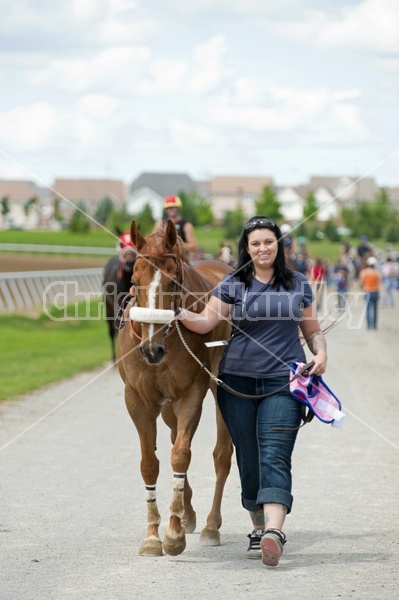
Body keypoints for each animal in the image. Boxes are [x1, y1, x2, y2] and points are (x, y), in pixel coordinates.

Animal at [103, 230, 138, 360]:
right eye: (121, 243)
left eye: (133, 243)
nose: (129, 262)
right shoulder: (116, 304)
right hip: (107, 307)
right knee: (110, 330)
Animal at [116, 220, 234, 556]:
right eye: (134, 279)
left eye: (171, 281)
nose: (151, 349)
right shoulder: (137, 399)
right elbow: (150, 464)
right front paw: (153, 535)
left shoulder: (190, 393)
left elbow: (181, 456)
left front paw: (173, 533)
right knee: (172, 435)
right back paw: (188, 513)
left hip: (221, 389)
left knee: (221, 455)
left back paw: (209, 525)